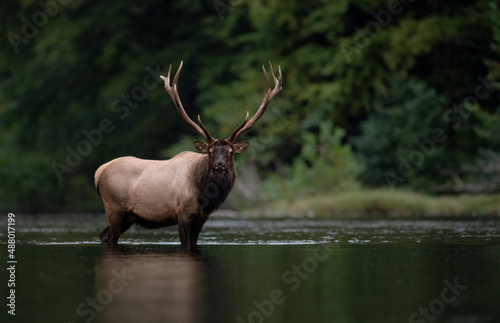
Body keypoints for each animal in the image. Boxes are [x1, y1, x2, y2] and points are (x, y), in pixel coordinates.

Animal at [94, 61, 282, 251]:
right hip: (114, 208)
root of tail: (98, 172)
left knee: (104, 235)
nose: (219, 165)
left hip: (129, 216)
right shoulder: (182, 212)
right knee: (111, 237)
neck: (204, 196)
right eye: (210, 152)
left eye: (230, 152)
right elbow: (186, 245)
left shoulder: (203, 217)